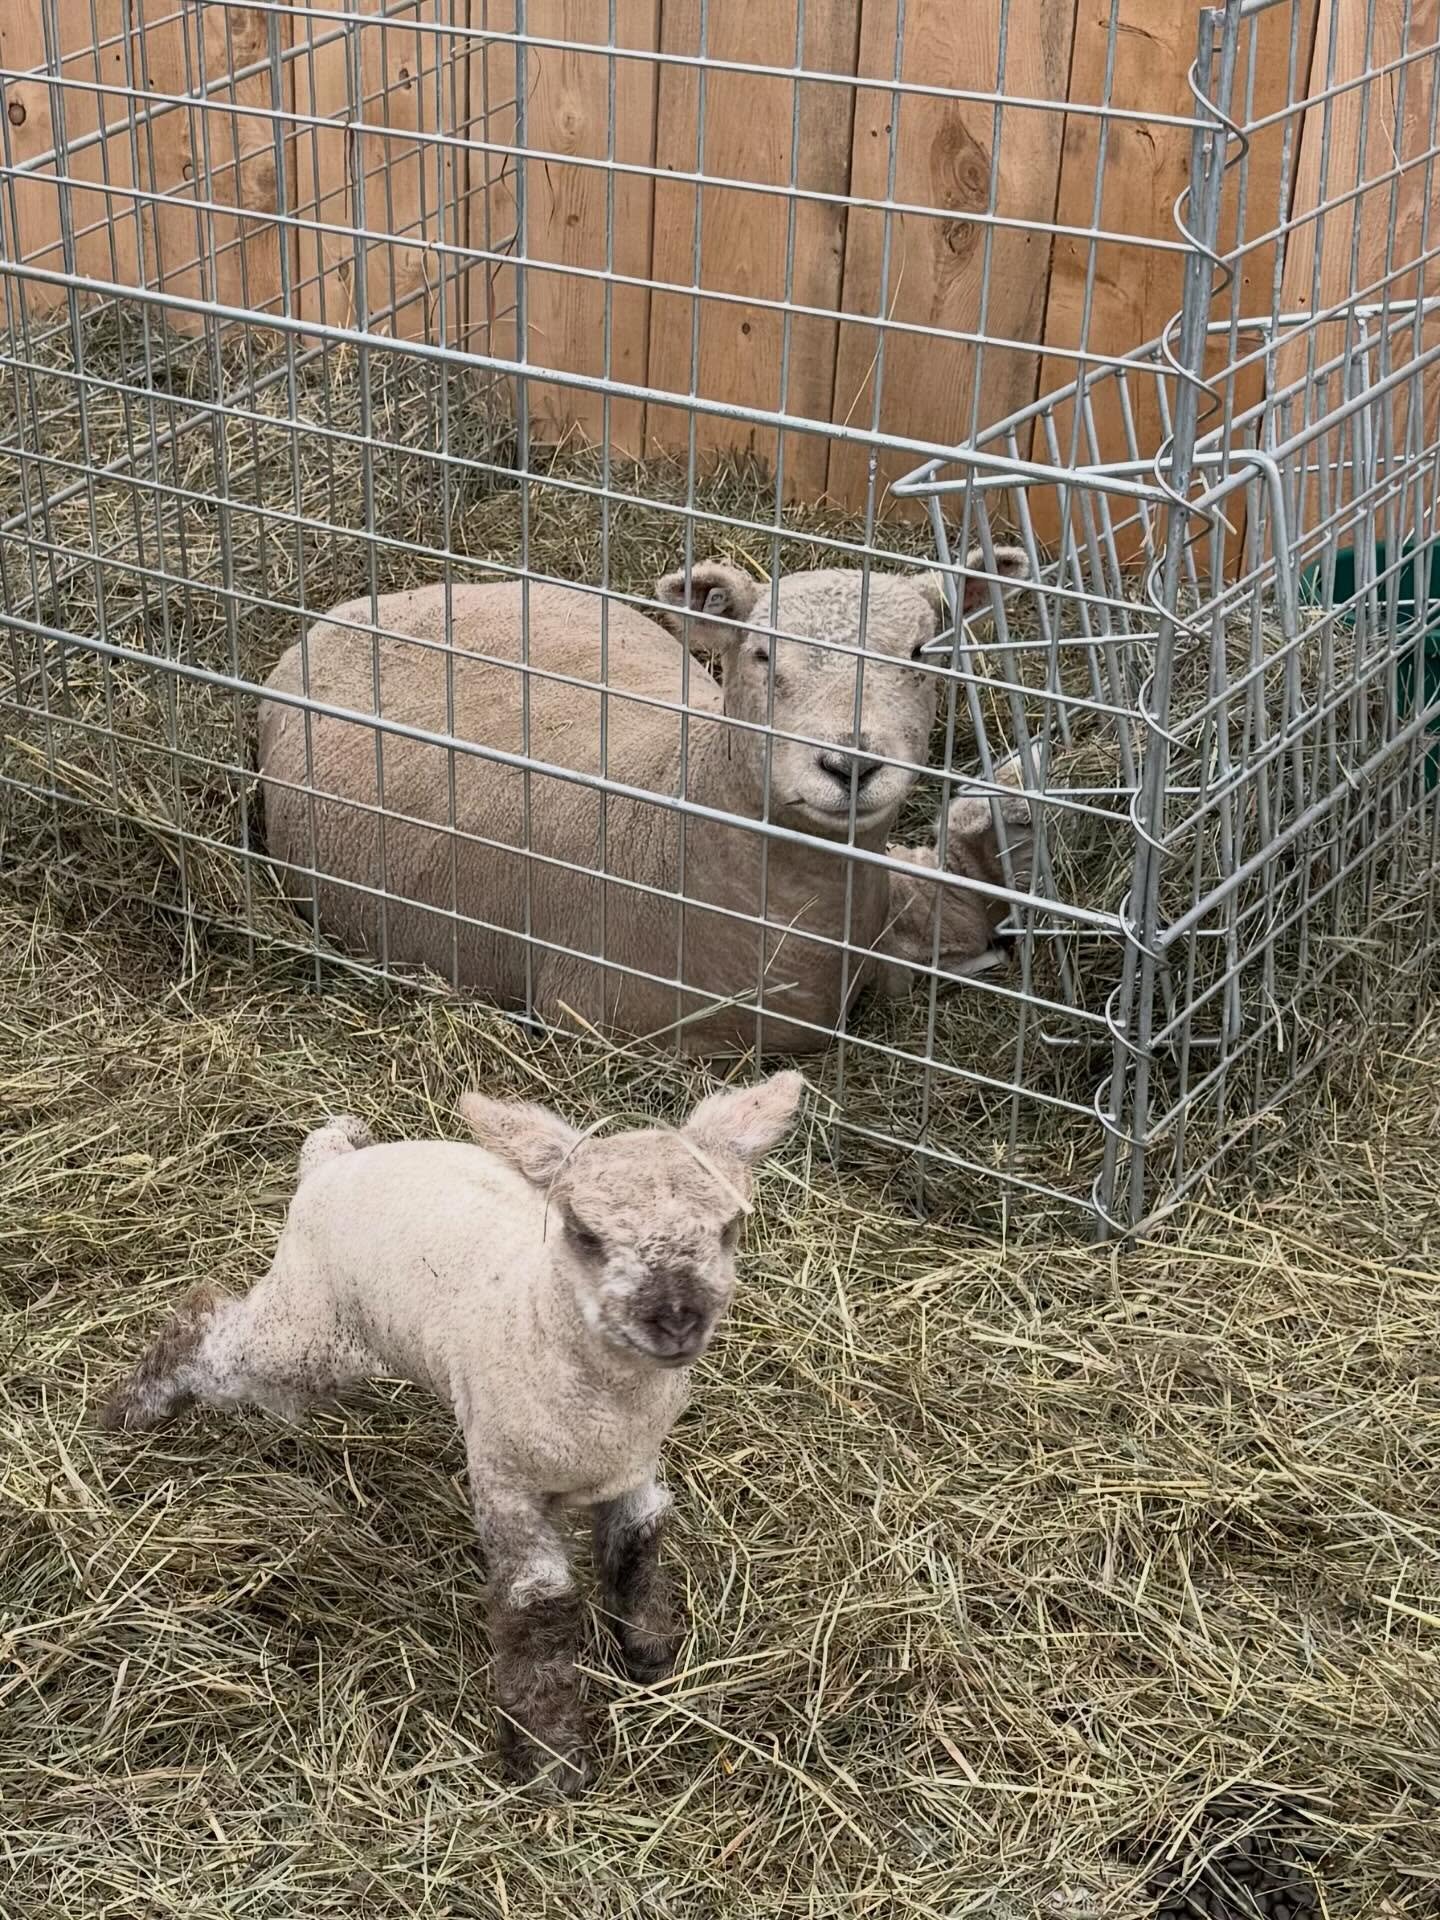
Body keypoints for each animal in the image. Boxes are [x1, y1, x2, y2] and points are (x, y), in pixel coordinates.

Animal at [100, 1071, 806, 1795]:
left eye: (729, 1228)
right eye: (584, 1233)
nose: (676, 1320)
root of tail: (330, 1160)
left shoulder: (633, 1468)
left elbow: (638, 1545)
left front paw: (650, 1650)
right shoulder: (504, 1481)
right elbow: (537, 1602)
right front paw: (551, 1755)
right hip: (310, 1329)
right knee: (212, 1327)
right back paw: (133, 1405)